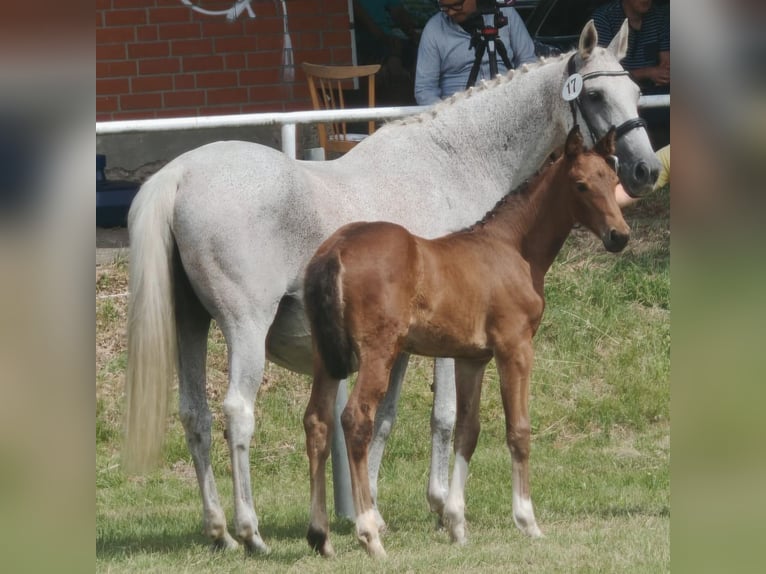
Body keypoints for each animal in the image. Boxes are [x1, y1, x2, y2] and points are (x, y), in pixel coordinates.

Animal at [303, 125, 628, 558]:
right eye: (580, 185)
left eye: (612, 179)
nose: (619, 236)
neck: (512, 248)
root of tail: (336, 248)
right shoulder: (515, 348)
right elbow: (518, 430)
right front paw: (528, 521)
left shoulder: (471, 358)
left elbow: (467, 431)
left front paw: (456, 522)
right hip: (377, 352)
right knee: (355, 420)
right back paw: (370, 533)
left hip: (324, 357)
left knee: (316, 423)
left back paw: (320, 536)